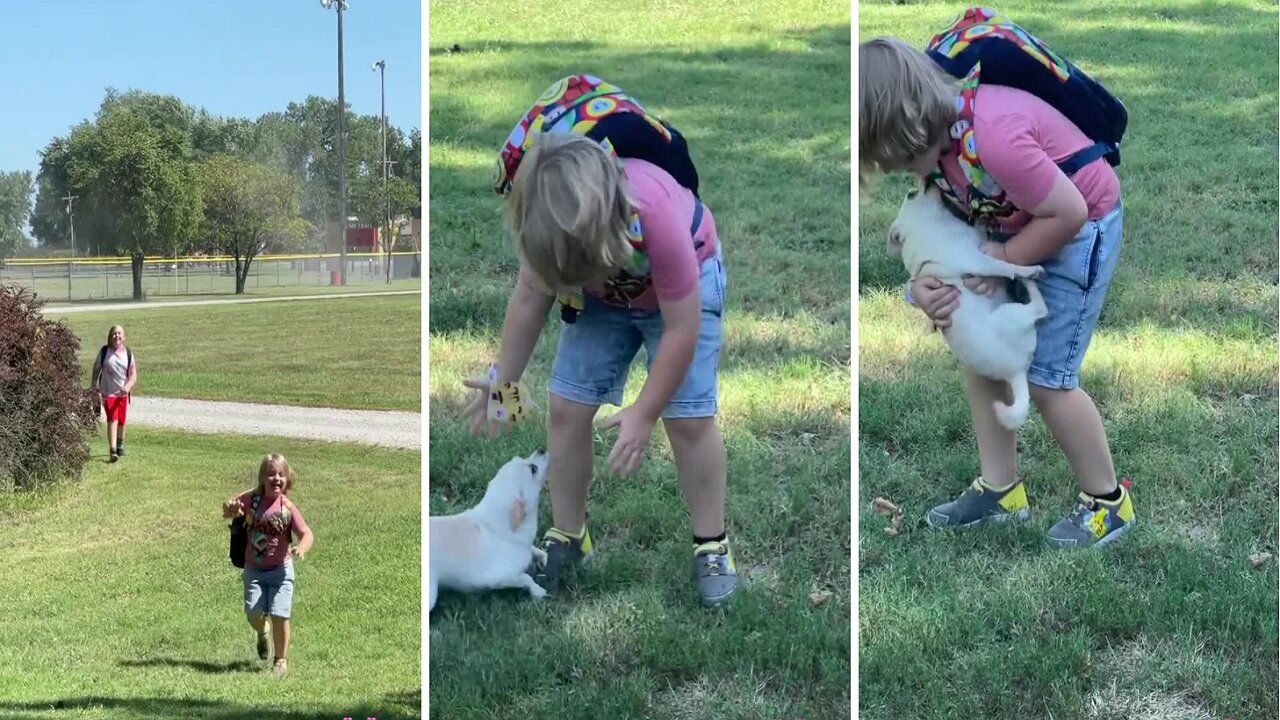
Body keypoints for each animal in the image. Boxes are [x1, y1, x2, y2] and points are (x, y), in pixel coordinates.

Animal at [430, 448, 550, 604]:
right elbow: (526, 577)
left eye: (518, 458)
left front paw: (542, 556)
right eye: (533, 469)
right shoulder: (498, 578)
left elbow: (535, 550)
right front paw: (538, 591)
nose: (542, 450)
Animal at [890, 181, 1049, 427]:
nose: (926, 180)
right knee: (1040, 309)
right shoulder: (975, 260)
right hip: (1010, 314)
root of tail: (1017, 372)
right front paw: (1026, 270)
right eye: (912, 194)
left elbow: (985, 239)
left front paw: (983, 222)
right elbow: (1005, 266)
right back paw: (1030, 282)